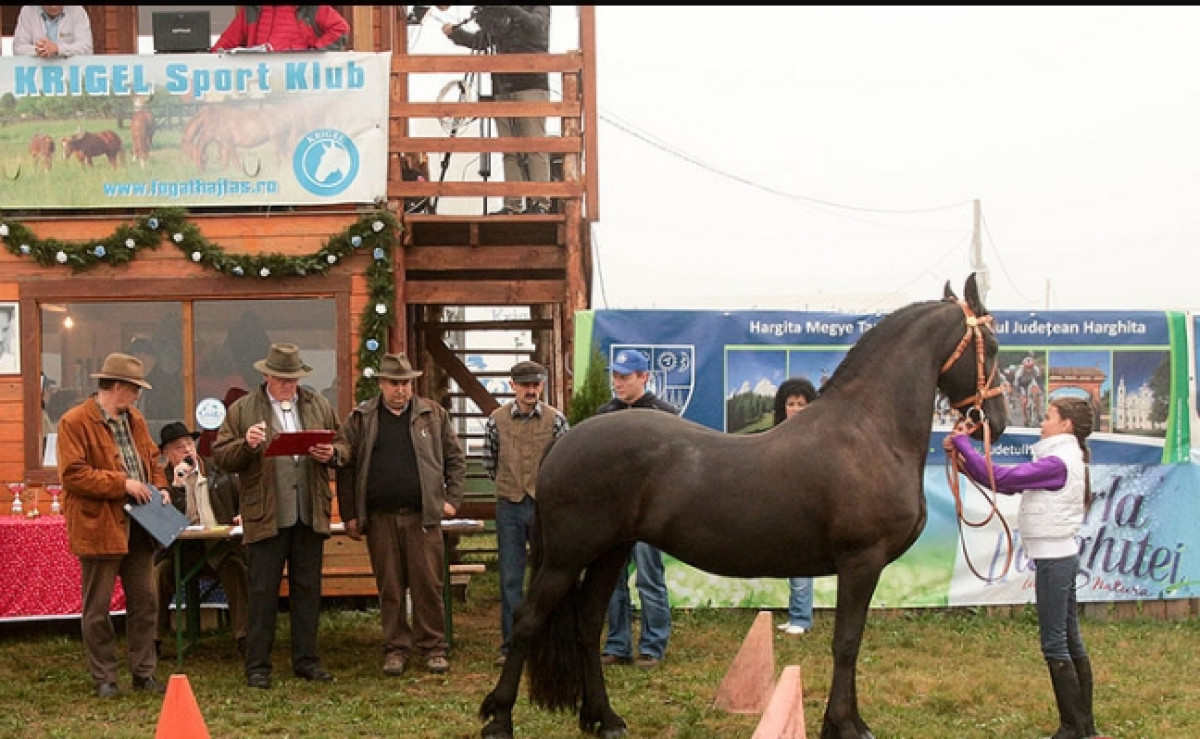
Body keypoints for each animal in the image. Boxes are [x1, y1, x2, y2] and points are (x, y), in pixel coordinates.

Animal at [482, 275, 1008, 739]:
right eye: (995, 345)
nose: (997, 421)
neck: (870, 429)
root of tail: (565, 442)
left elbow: (850, 643)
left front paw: (847, 722)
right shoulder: (862, 561)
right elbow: (847, 643)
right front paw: (845, 725)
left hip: (611, 550)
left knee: (588, 624)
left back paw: (604, 718)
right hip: (567, 555)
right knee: (528, 620)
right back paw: (499, 719)